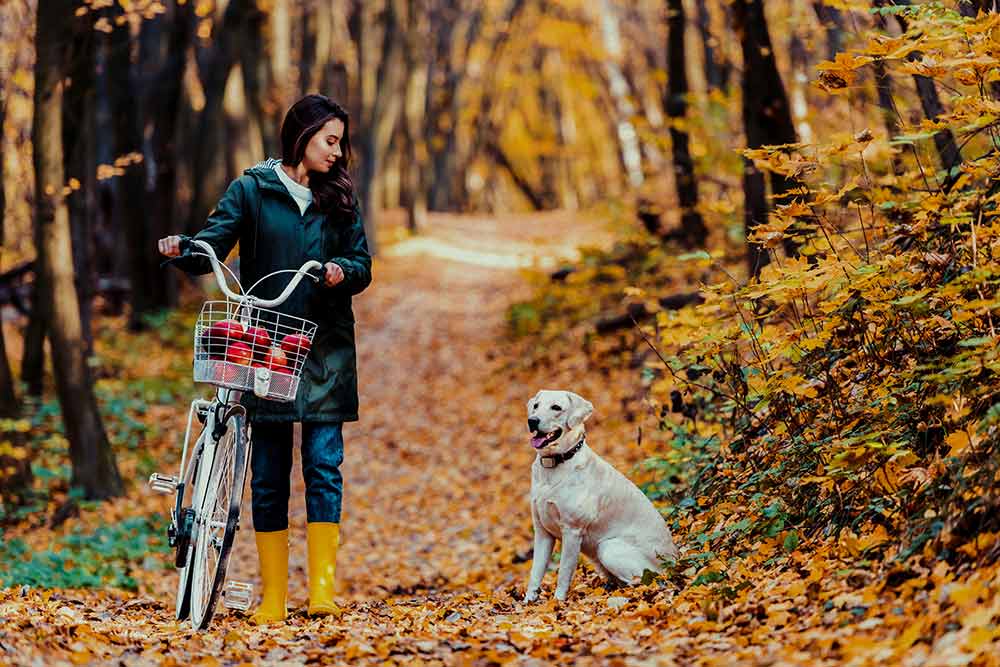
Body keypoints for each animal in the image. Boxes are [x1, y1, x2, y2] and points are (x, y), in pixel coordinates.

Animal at [524, 388, 680, 604]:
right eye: (536, 406)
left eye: (556, 407)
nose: (532, 420)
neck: (554, 465)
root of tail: (675, 560)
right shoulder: (542, 531)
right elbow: (535, 572)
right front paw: (528, 603)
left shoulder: (572, 531)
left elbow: (563, 573)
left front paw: (558, 603)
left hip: (608, 547)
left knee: (643, 581)